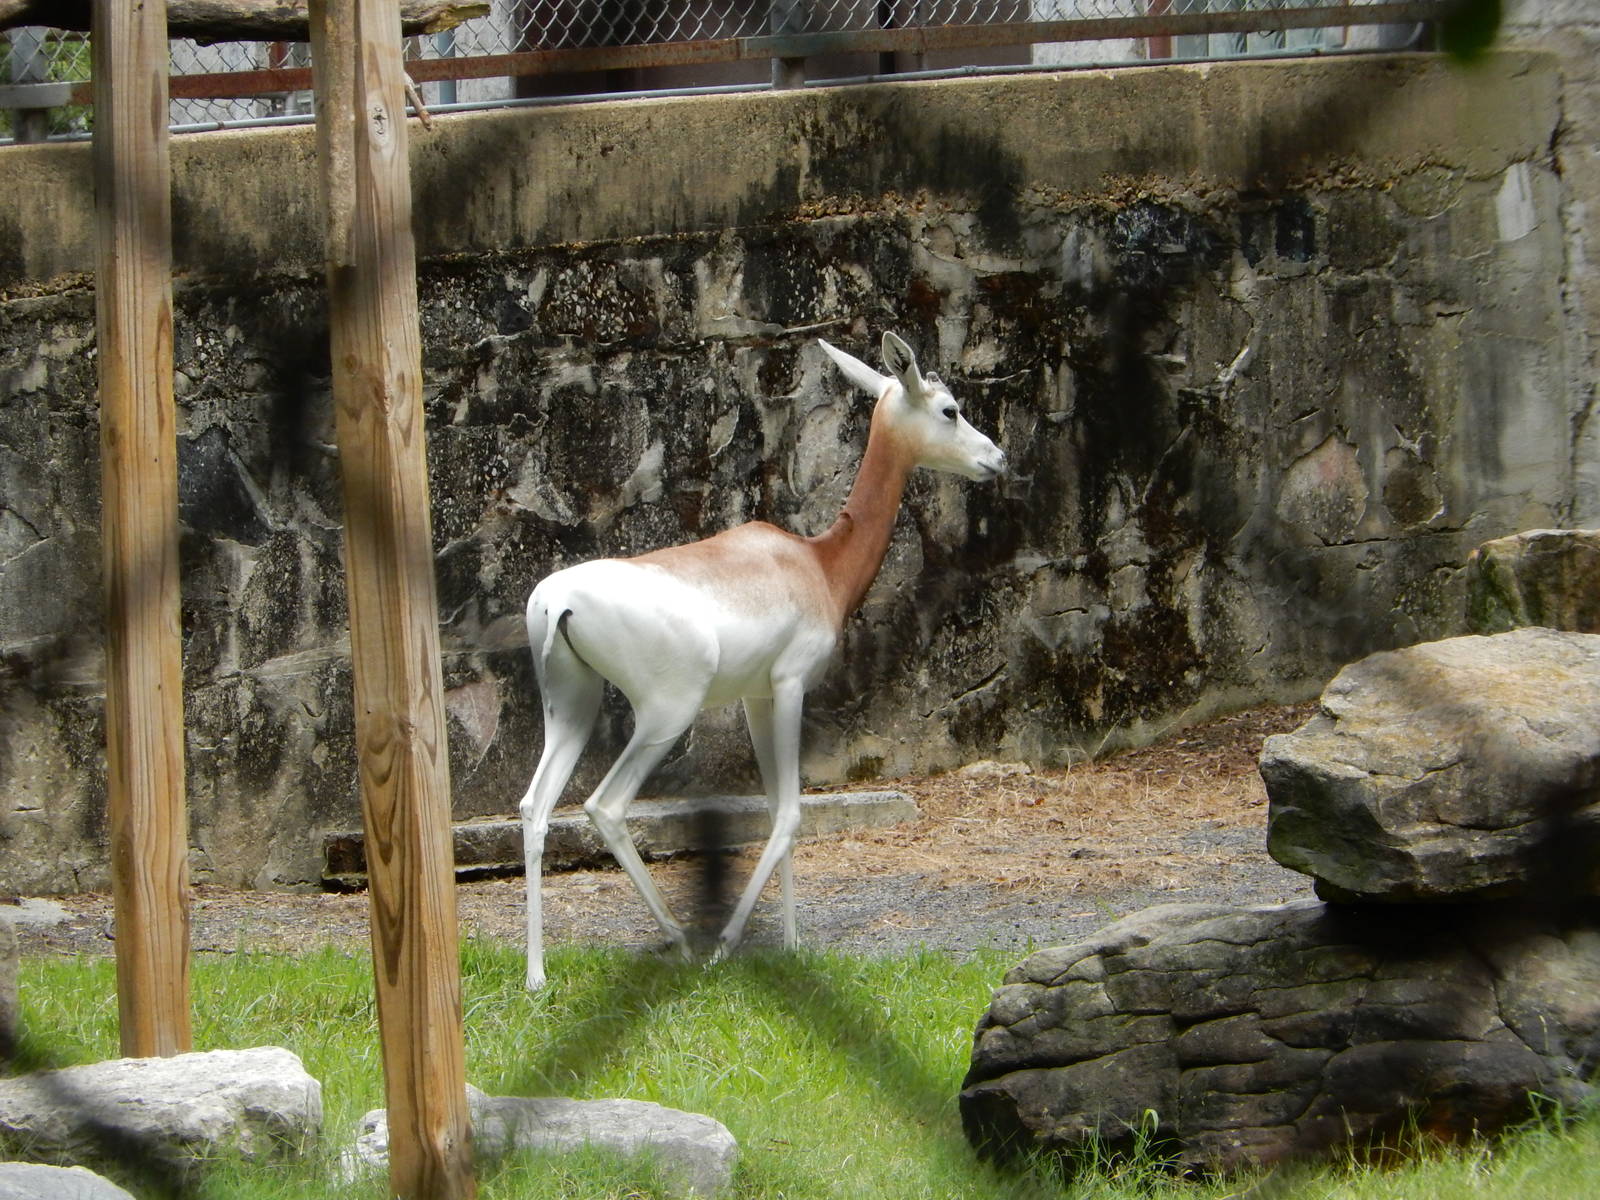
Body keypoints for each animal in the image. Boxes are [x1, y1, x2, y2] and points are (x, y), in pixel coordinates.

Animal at [517, 331, 1006, 988]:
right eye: (950, 409)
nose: (996, 458)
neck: (816, 562)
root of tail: (558, 599)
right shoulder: (793, 684)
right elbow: (791, 814)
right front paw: (731, 941)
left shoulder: (757, 696)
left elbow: (775, 806)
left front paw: (792, 944)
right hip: (665, 717)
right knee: (606, 806)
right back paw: (685, 940)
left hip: (572, 707)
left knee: (536, 807)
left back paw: (538, 975)